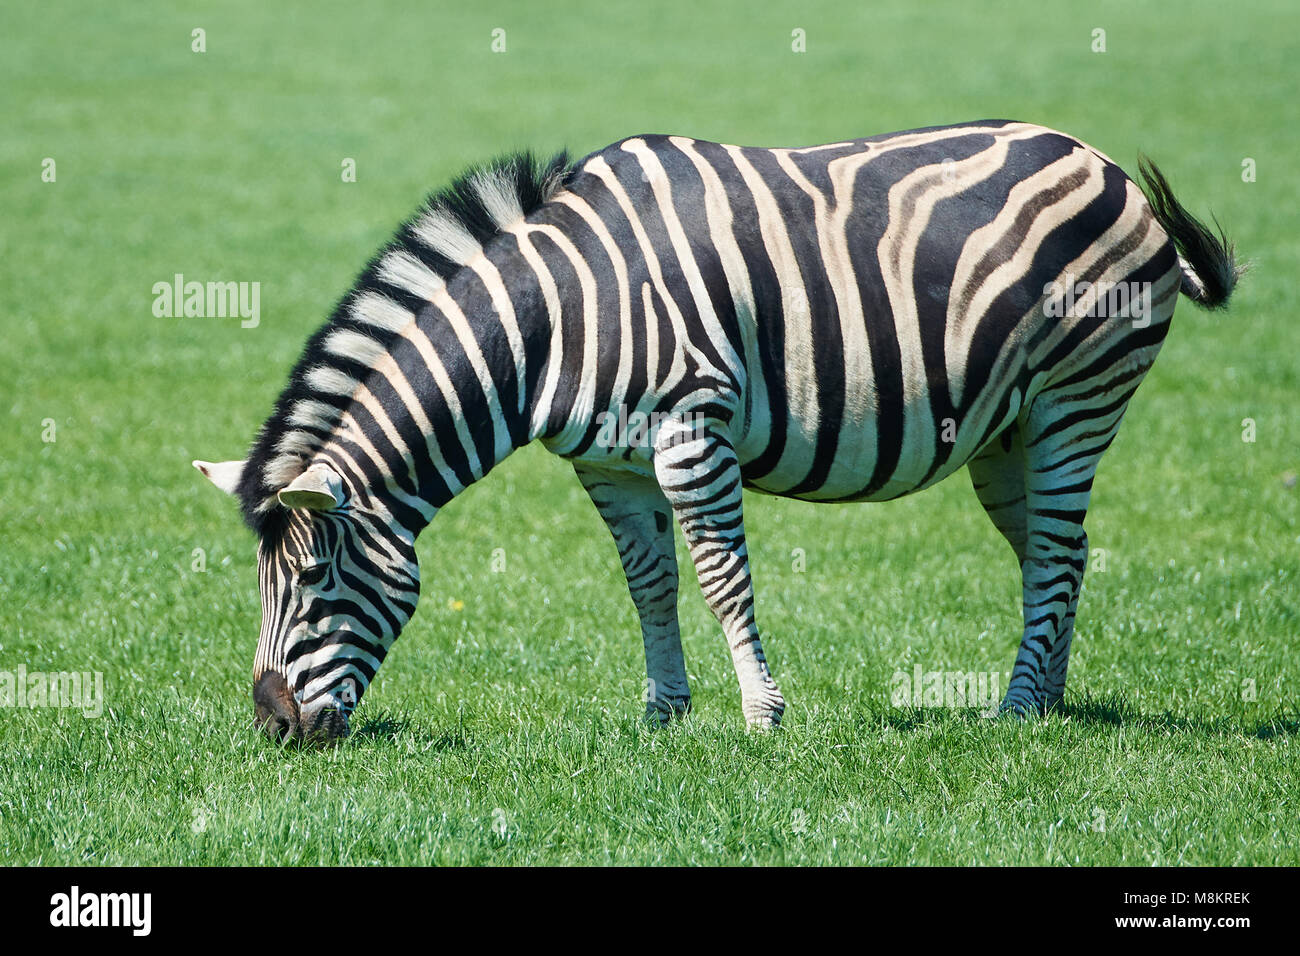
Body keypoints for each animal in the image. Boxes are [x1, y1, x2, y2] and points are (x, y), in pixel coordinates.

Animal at [192, 119, 1237, 749]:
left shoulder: (691, 432)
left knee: (1057, 550)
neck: (555, 321)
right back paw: (1047, 700)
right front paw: (663, 712)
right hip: (1007, 431)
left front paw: (762, 716)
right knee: (1057, 554)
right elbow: (650, 584)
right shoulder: (609, 465)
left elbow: (722, 576)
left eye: (312, 579)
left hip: (1076, 399)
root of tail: (1100, 159)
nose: (271, 724)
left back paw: (1015, 711)